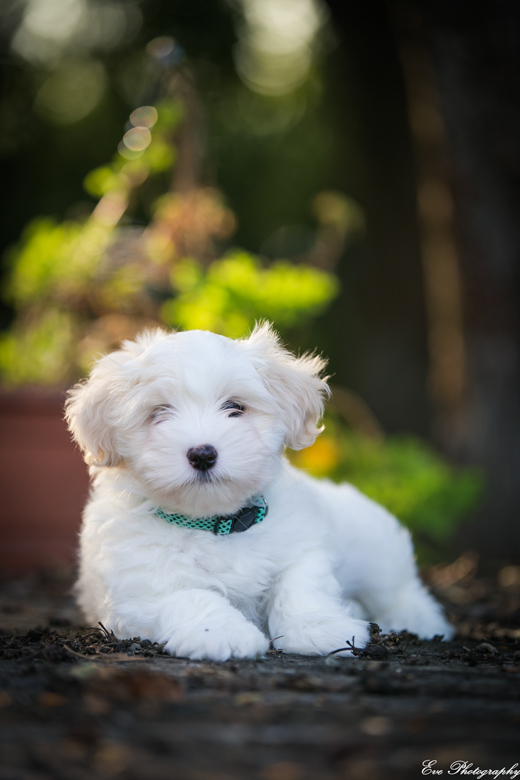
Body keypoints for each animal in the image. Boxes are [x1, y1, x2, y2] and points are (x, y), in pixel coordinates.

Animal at [67, 322, 452, 660]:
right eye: (158, 413)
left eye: (235, 407)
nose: (202, 453)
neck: (217, 524)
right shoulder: (140, 591)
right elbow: (190, 597)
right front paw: (220, 634)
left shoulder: (303, 548)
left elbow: (301, 585)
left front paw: (319, 628)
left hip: (374, 548)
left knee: (399, 590)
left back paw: (417, 621)